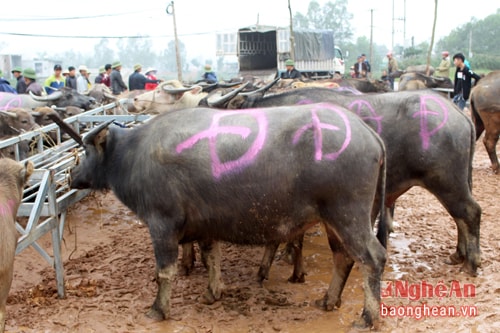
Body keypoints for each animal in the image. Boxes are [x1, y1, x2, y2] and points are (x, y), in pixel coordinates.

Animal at [66, 103, 386, 326]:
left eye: (86, 150)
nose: (71, 175)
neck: (133, 155)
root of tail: (368, 132)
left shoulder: (162, 225)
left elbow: (164, 272)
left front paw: (158, 309)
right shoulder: (206, 226)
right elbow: (212, 258)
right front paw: (213, 292)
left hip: (348, 215)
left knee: (373, 258)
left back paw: (367, 318)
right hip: (334, 220)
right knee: (343, 257)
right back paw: (329, 300)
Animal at [237, 87, 480, 278]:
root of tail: (458, 113)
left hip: (446, 182)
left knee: (470, 212)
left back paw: (471, 263)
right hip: (458, 183)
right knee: (461, 217)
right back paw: (459, 254)